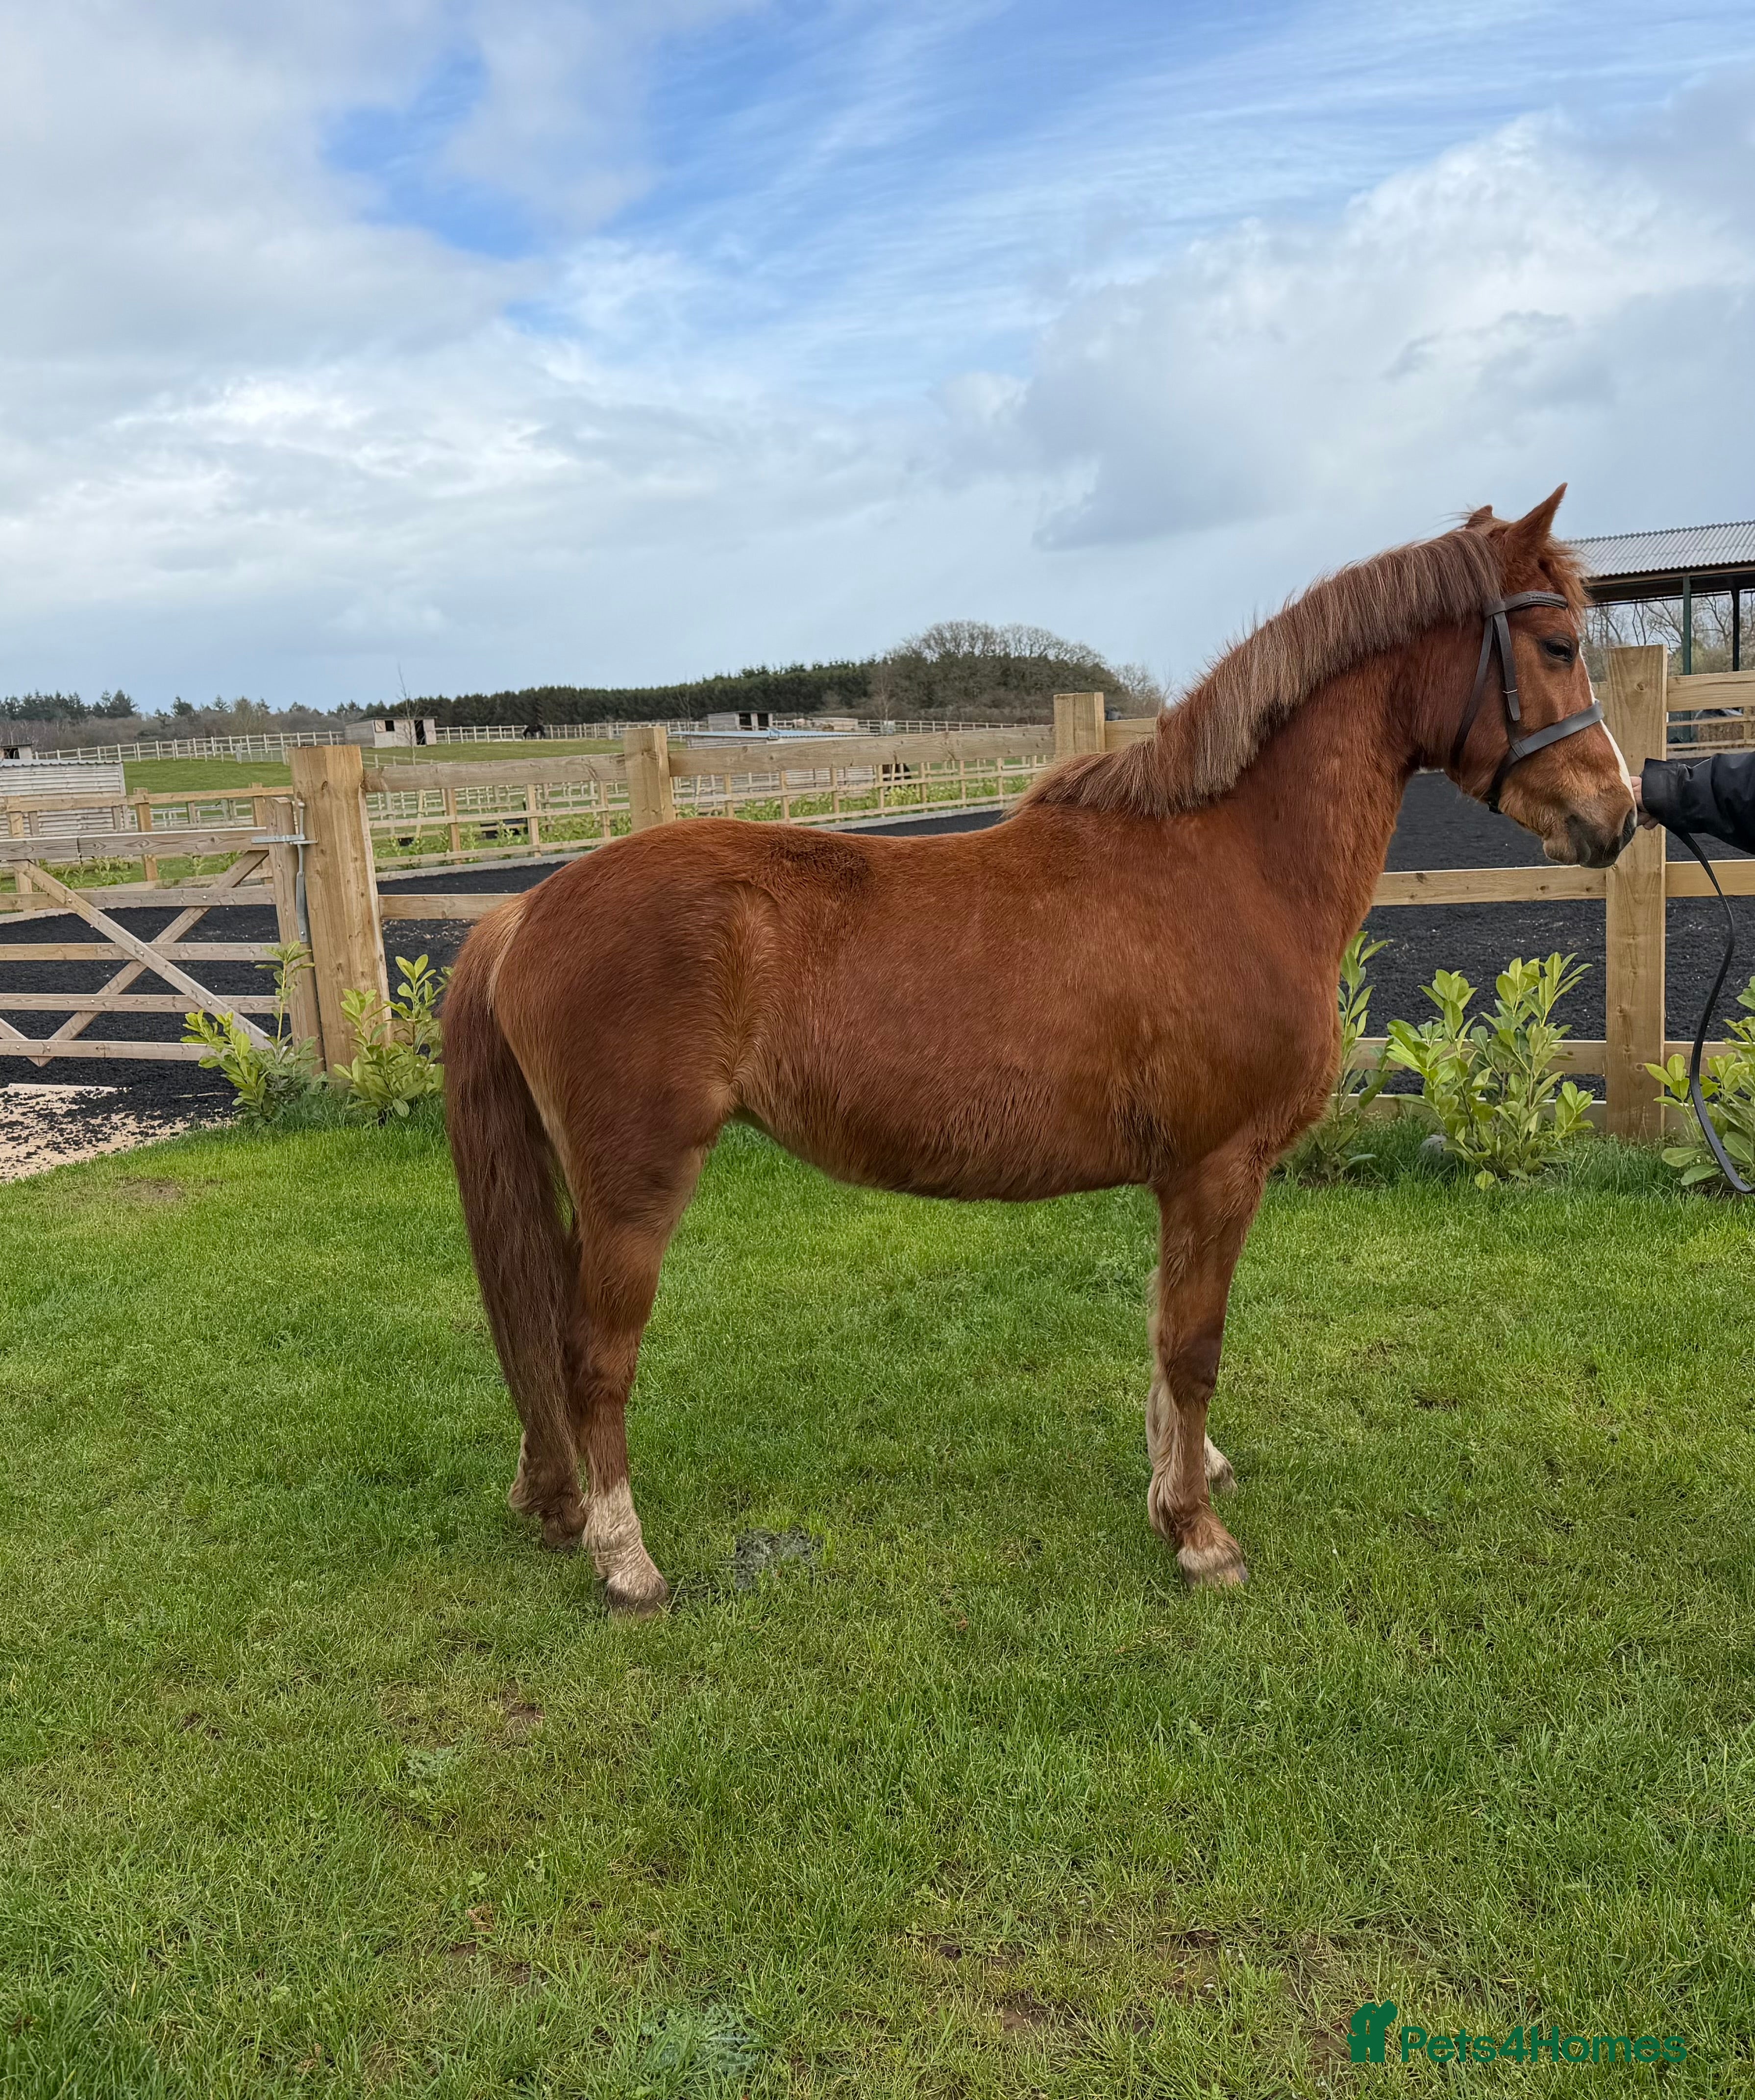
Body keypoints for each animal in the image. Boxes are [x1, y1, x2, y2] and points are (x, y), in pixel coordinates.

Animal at [444, 487, 1634, 1612]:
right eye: (1556, 645)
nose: (1615, 817)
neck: (1229, 864)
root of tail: (526, 908)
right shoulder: (1218, 1170)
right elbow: (1193, 1345)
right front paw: (1196, 1535)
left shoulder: (1180, 1180)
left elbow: (1162, 1333)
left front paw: (1182, 1474)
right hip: (637, 1189)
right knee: (594, 1359)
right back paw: (626, 1562)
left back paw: (558, 1507)